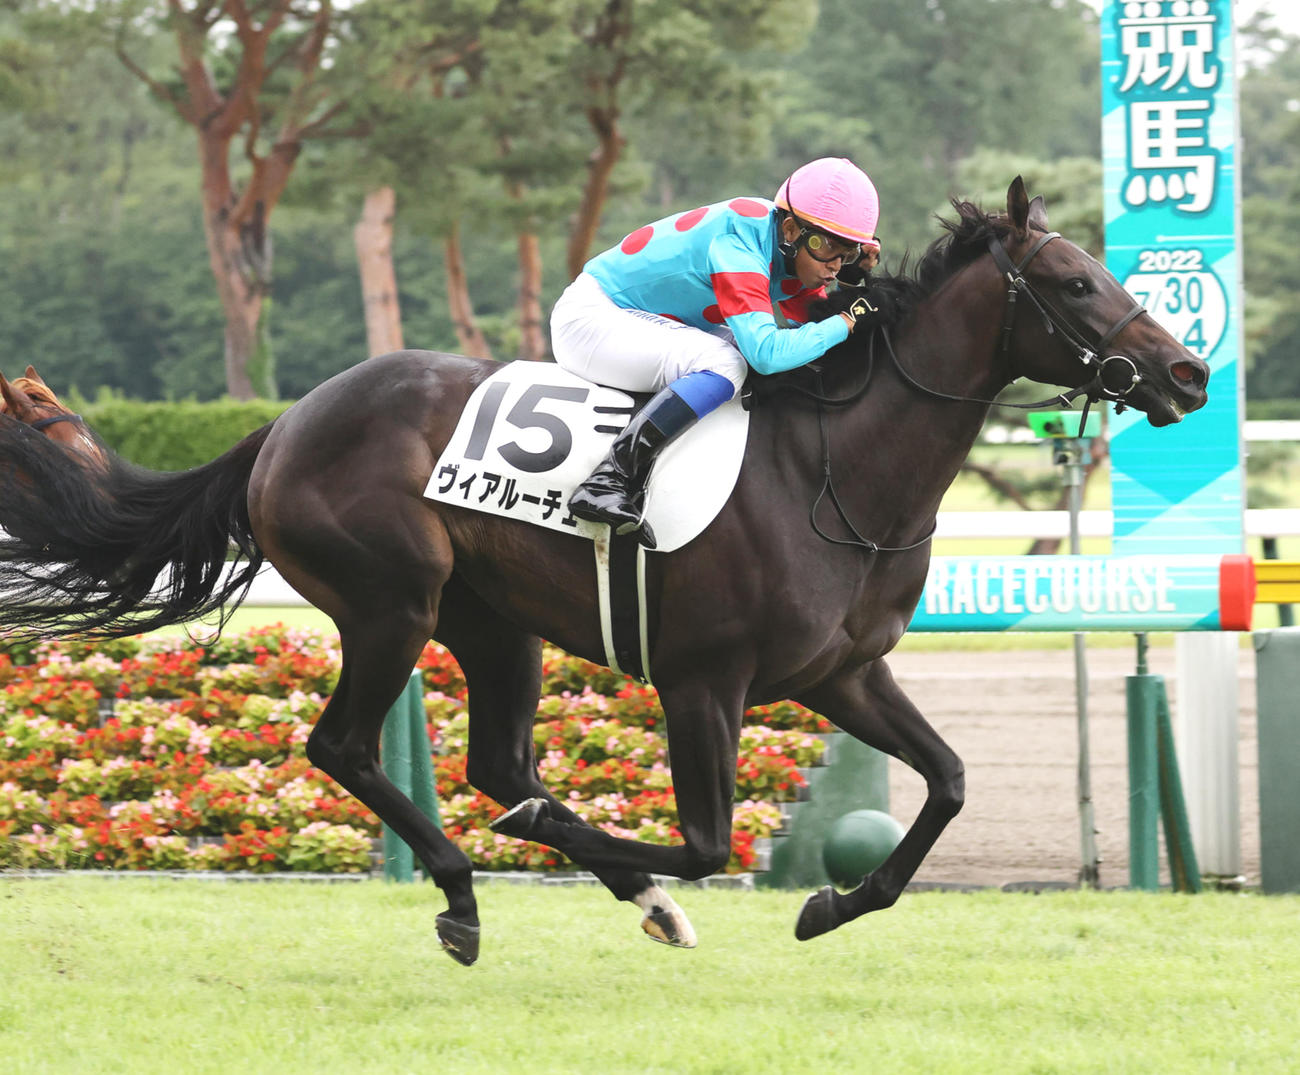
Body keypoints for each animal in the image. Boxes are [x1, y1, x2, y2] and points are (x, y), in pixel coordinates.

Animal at [0, 179, 1208, 965]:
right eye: (1073, 280)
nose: (1190, 373)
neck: (836, 472)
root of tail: (285, 423)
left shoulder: (842, 673)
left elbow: (949, 781)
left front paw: (832, 903)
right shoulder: (704, 680)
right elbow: (708, 840)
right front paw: (586, 849)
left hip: (496, 623)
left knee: (496, 759)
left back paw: (602, 885)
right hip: (391, 603)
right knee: (346, 746)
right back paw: (464, 893)